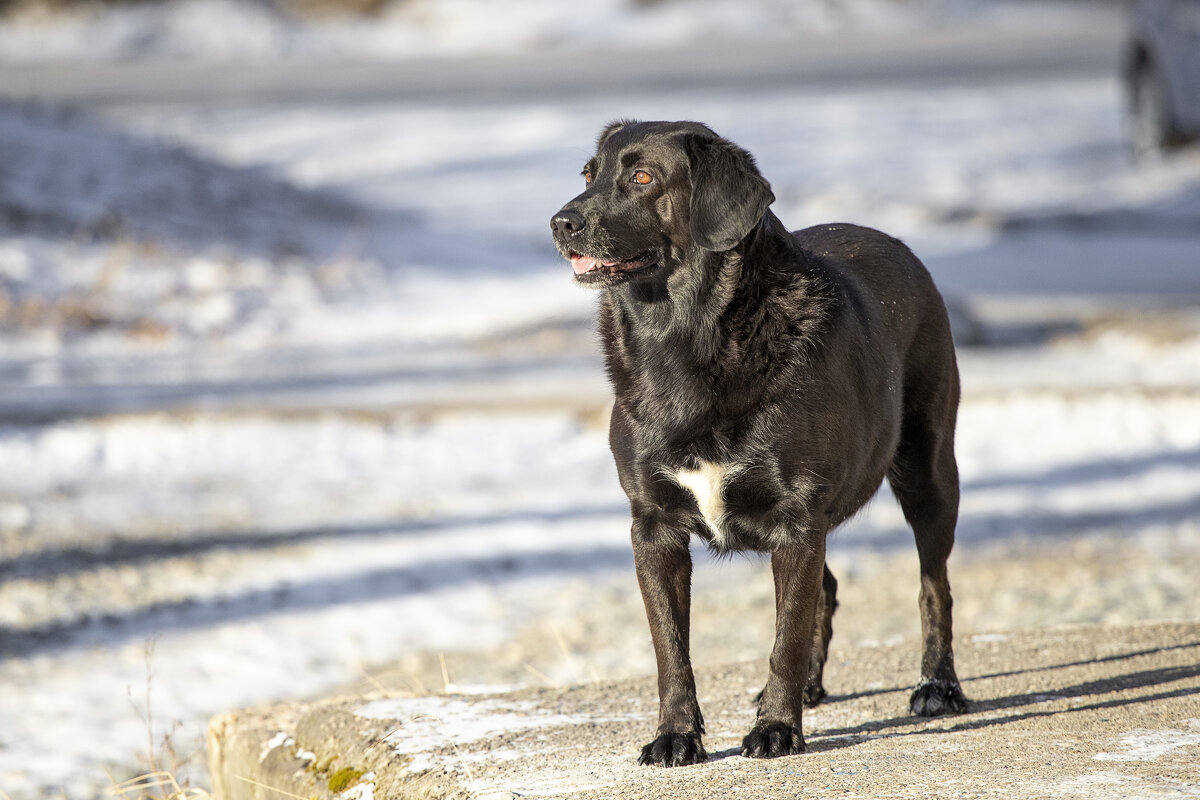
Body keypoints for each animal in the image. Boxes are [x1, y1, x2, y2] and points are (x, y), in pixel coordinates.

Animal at [549, 120, 964, 767]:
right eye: (589, 174)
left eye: (642, 177)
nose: (560, 222)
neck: (684, 336)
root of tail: (897, 243)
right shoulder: (653, 527)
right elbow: (671, 649)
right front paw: (675, 736)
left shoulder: (796, 520)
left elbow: (785, 634)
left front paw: (776, 729)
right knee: (826, 589)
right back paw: (813, 688)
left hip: (928, 470)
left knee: (933, 584)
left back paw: (937, 687)